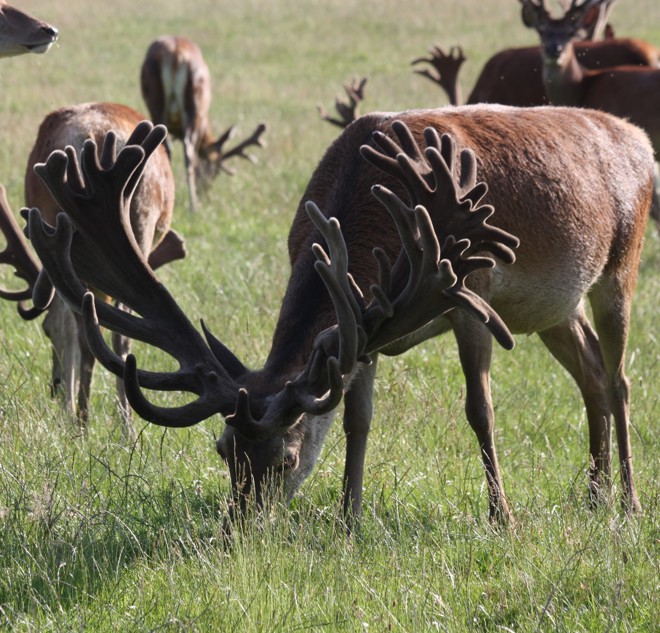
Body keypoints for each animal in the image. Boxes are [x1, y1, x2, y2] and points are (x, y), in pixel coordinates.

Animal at [0, 102, 186, 440]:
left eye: (45, 332)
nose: (55, 386)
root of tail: (95, 137)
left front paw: (69, 409)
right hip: (140, 218)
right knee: (111, 332)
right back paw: (117, 426)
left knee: (86, 324)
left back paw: (86, 420)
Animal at [27, 102, 656, 528]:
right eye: (223, 451)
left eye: (284, 461)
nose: (236, 530)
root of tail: (639, 138)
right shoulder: (365, 326)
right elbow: (358, 418)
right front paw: (348, 518)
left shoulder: (467, 295)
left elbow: (480, 410)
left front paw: (502, 517)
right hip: (554, 307)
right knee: (590, 375)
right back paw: (594, 494)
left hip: (620, 265)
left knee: (620, 378)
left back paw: (627, 501)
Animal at [141, 35, 266, 212]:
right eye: (216, 171)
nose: (205, 194)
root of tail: (176, 55)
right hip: (195, 103)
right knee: (189, 153)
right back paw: (193, 205)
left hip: (157, 102)